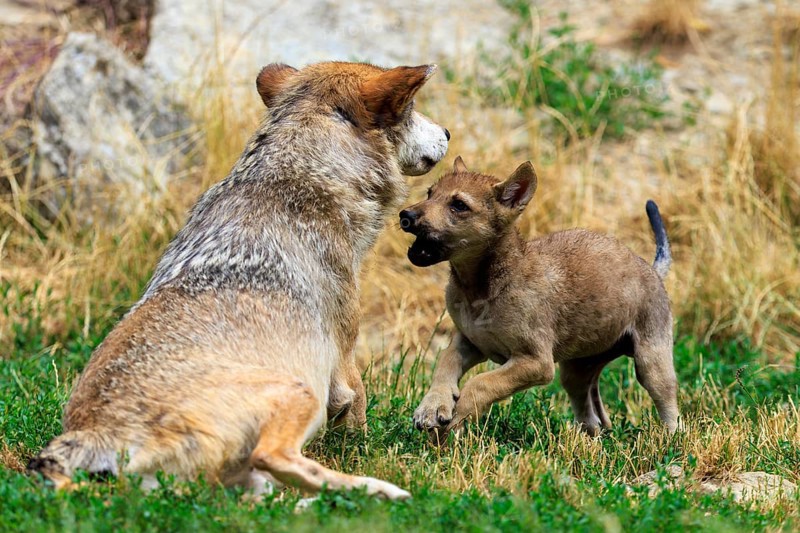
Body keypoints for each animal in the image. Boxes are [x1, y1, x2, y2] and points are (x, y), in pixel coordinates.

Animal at [28, 61, 449, 499]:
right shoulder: (344, 360)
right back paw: (381, 490)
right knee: (277, 459)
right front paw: (365, 455)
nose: (448, 133)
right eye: (413, 109)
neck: (300, 171)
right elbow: (358, 418)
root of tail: (95, 433)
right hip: (299, 394)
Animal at [400, 157, 677, 439]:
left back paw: (670, 440)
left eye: (459, 205)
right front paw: (432, 406)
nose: (405, 216)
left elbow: (481, 383)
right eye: (429, 193)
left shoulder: (536, 362)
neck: (481, 288)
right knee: (593, 415)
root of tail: (653, 270)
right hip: (577, 369)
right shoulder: (469, 342)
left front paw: (458, 418)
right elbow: (445, 362)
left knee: (670, 410)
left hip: (651, 362)